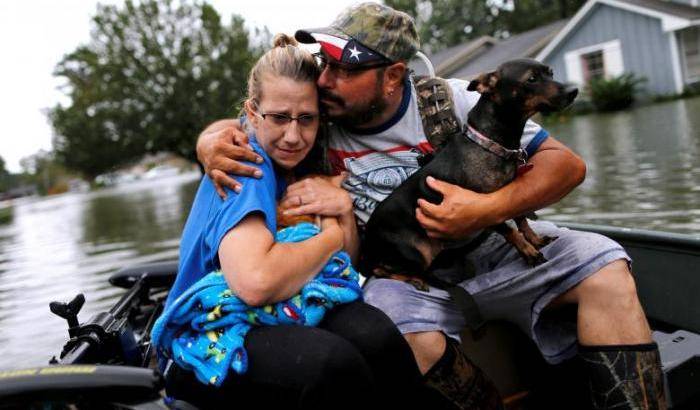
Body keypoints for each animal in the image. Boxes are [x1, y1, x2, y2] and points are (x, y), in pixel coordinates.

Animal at [358, 58, 576, 282]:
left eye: (551, 73)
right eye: (531, 79)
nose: (574, 91)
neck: (489, 144)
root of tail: (367, 246)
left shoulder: (508, 199)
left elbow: (522, 220)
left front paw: (535, 240)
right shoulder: (485, 209)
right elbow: (510, 230)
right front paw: (528, 252)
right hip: (415, 254)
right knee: (380, 270)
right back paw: (415, 280)